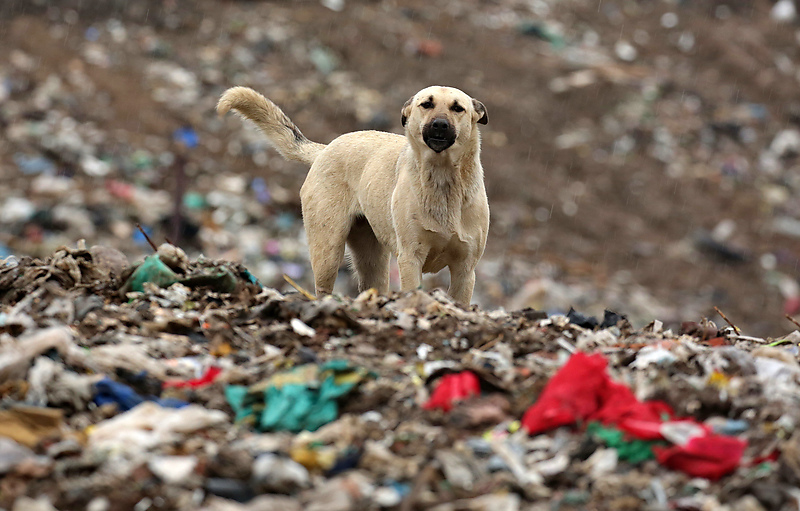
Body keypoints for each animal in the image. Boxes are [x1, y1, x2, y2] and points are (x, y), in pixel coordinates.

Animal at [219, 86, 494, 306]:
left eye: (458, 108)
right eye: (426, 104)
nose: (440, 124)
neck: (442, 180)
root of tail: (326, 148)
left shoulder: (465, 269)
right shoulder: (410, 259)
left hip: (372, 259)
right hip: (328, 251)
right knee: (323, 287)